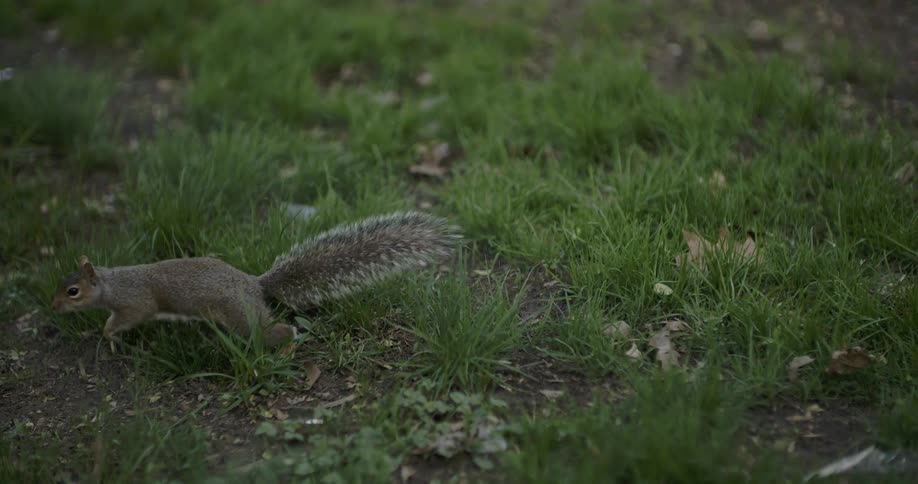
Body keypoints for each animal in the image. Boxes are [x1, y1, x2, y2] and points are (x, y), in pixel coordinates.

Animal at [51, 212, 460, 348]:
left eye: (73, 291)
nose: (52, 306)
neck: (111, 281)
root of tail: (255, 285)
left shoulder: (135, 302)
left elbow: (127, 317)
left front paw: (108, 334)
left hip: (240, 319)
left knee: (273, 331)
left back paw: (289, 343)